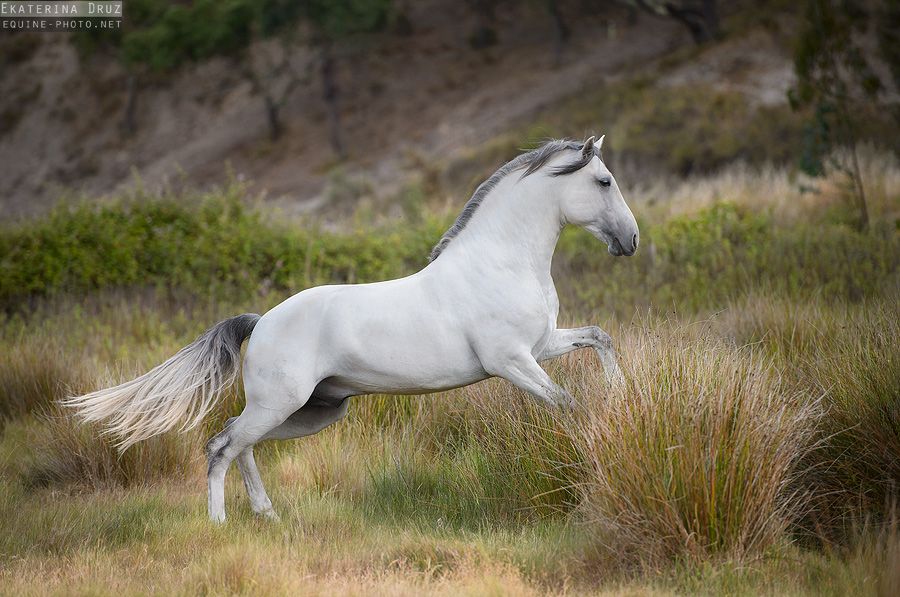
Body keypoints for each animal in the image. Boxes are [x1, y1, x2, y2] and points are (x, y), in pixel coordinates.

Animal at [65, 136, 640, 520]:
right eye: (604, 181)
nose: (630, 240)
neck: (501, 262)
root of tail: (261, 321)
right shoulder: (511, 361)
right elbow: (566, 402)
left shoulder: (540, 346)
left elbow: (600, 338)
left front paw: (620, 397)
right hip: (282, 404)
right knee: (220, 446)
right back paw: (220, 523)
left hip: (313, 411)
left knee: (239, 441)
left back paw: (267, 514)